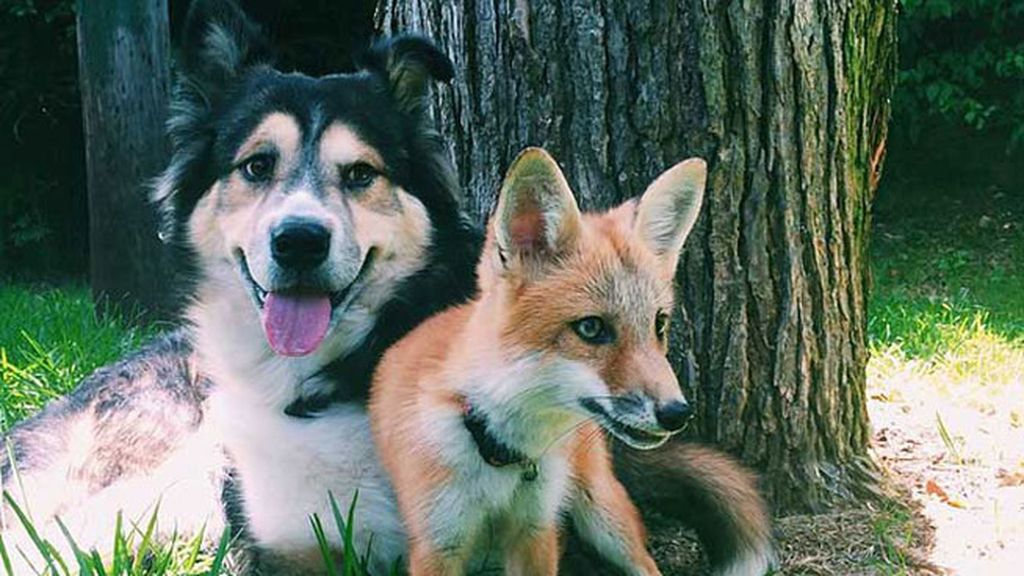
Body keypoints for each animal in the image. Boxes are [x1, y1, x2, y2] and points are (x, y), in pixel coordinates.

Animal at [370, 146, 712, 575]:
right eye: (591, 328)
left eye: (658, 325)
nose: (677, 413)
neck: (500, 452)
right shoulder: (437, 543)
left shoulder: (535, 531)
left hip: (604, 516)